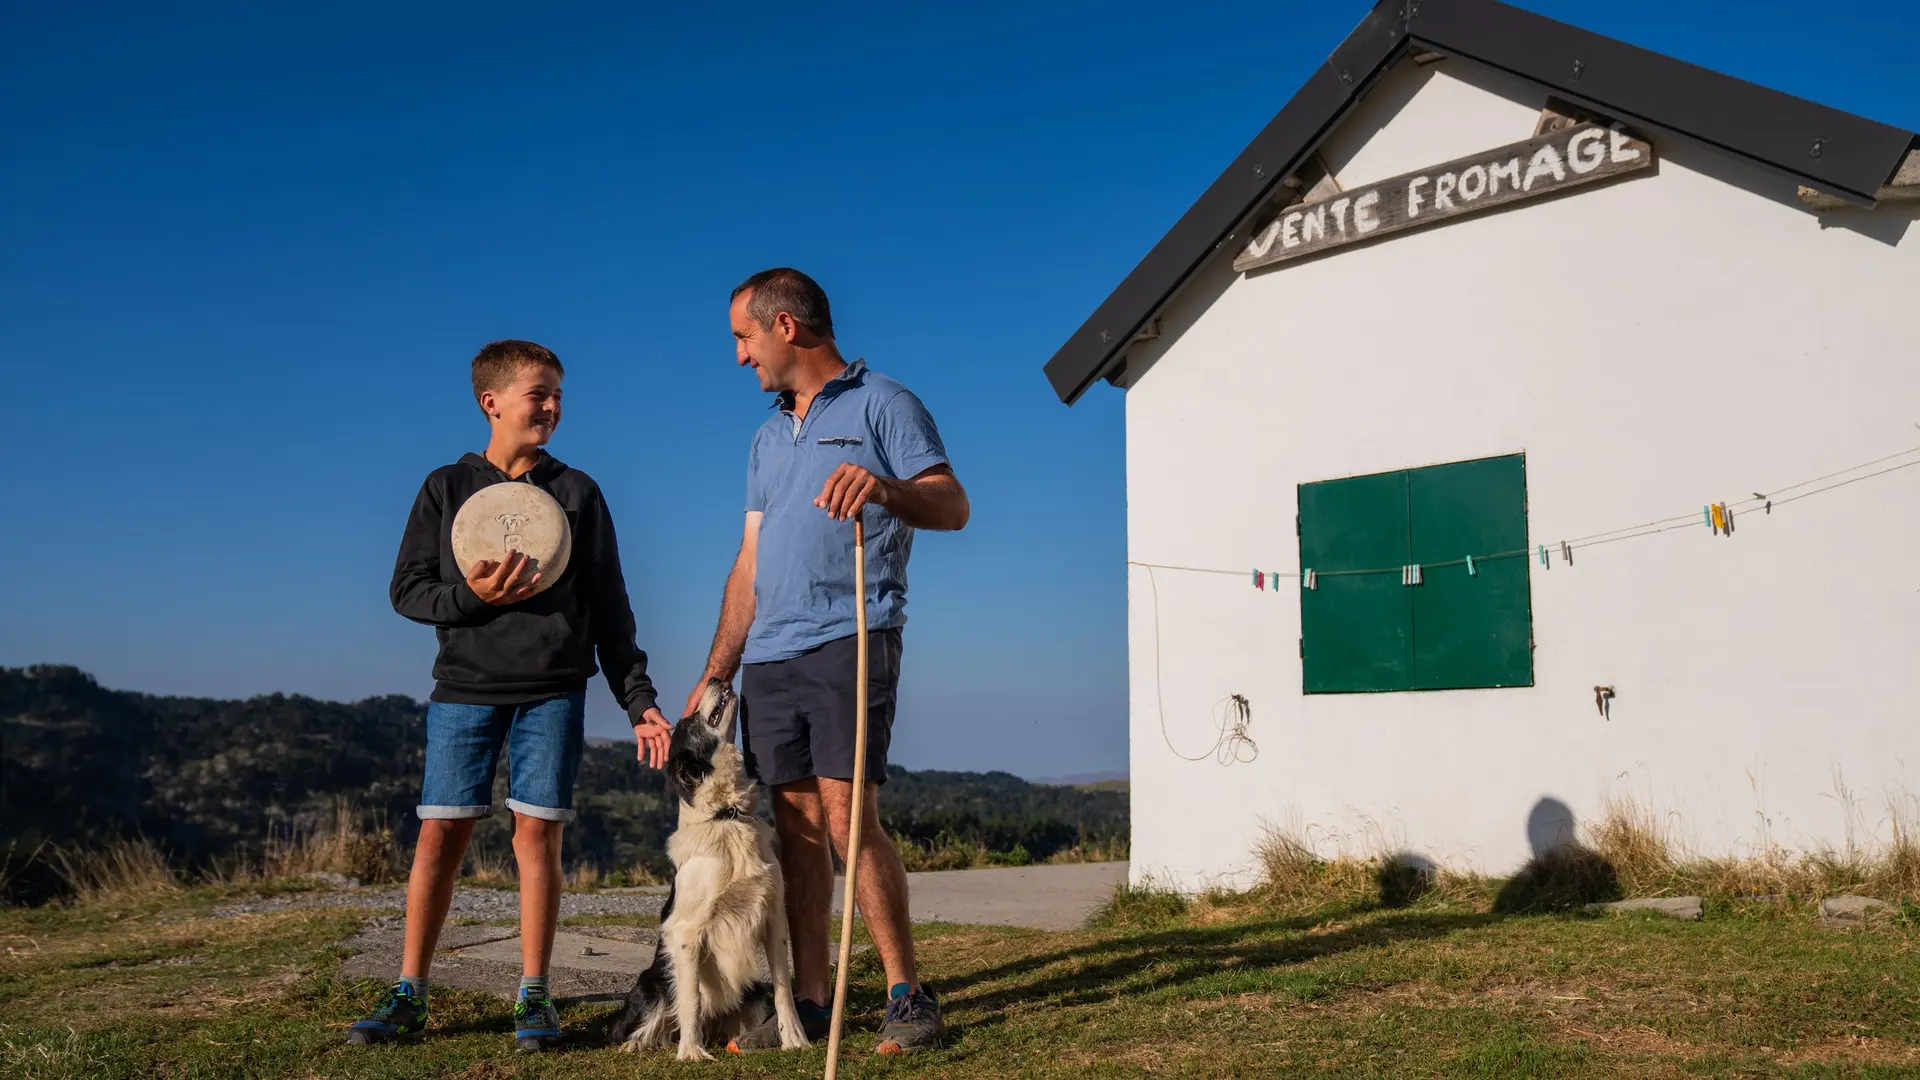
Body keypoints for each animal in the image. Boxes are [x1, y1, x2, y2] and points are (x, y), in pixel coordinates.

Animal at [602, 676, 806, 1053]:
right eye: (687, 721)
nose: (714, 678)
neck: (727, 815)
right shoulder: (687, 932)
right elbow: (692, 1000)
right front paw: (692, 1053)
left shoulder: (773, 918)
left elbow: (784, 988)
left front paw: (795, 1038)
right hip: (652, 985)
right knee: (642, 1027)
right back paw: (641, 1044)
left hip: (752, 991)